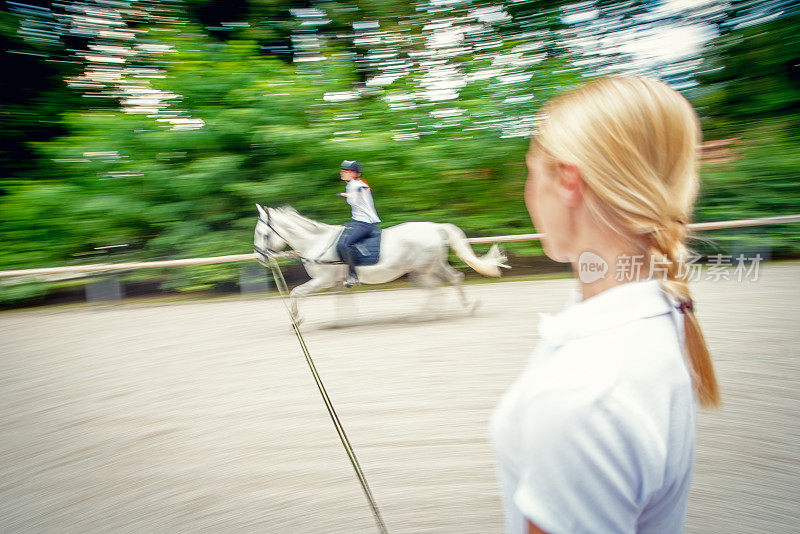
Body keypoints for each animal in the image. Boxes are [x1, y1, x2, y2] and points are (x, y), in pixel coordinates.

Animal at [253, 204, 510, 322]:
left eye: (264, 235)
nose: (261, 258)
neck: (316, 242)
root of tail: (435, 227)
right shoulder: (336, 282)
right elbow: (343, 301)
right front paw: (343, 322)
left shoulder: (321, 281)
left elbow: (295, 292)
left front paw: (296, 319)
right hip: (433, 266)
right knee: (455, 279)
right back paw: (467, 307)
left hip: (424, 269)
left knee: (434, 290)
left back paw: (425, 316)